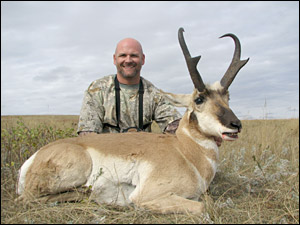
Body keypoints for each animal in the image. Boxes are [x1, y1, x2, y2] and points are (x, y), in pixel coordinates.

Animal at [15, 27, 248, 214]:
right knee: (29, 199)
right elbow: (202, 206)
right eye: (199, 99)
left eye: (227, 97)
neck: (185, 150)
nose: (236, 125)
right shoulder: (148, 195)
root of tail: (35, 157)